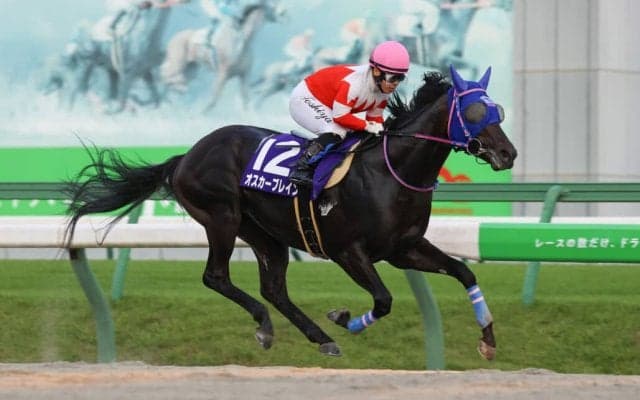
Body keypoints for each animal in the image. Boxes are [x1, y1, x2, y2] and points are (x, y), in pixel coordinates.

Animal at [64, 65, 517, 358]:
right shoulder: (348, 251)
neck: (393, 172)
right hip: (222, 217)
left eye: (498, 109)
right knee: (217, 277)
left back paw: (315, 336)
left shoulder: (403, 248)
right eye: (475, 111)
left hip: (265, 233)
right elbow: (385, 299)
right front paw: (344, 317)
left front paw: (489, 340)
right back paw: (270, 326)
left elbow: (464, 272)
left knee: (274, 289)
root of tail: (186, 156)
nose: (508, 154)